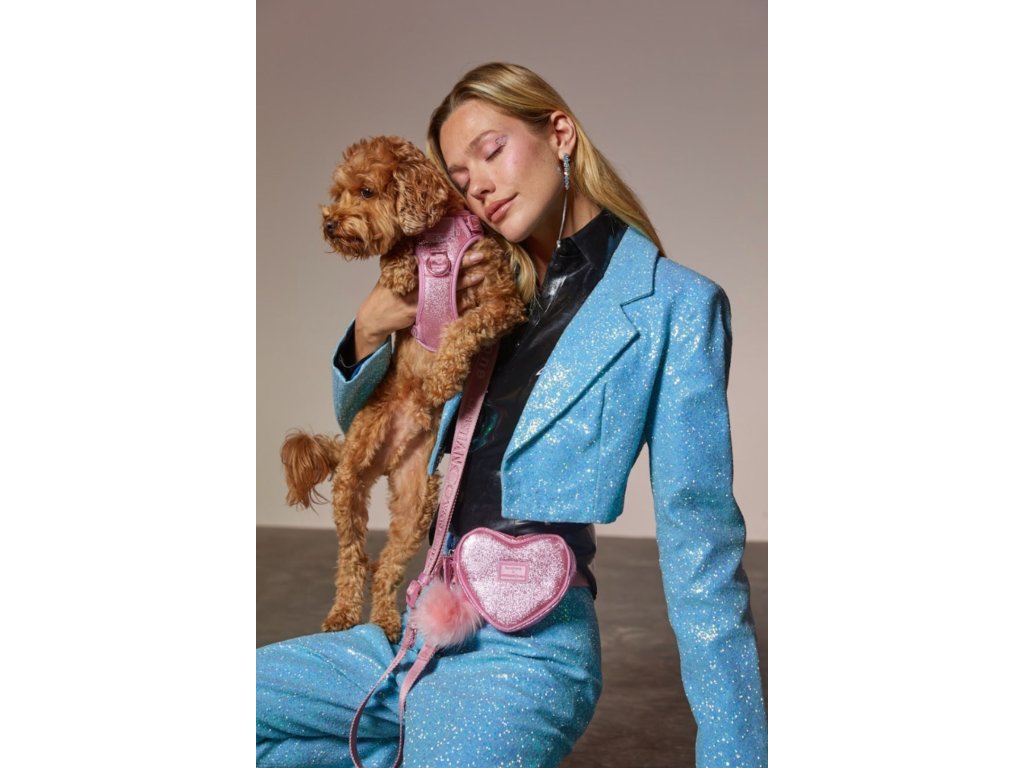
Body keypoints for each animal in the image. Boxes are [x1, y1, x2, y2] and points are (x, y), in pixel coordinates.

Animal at [281, 136, 525, 641]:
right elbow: (395, 253)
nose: (329, 223)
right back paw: (343, 615)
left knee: (387, 567)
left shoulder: (501, 302)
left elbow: (465, 327)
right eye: (339, 192)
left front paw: (443, 377)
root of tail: (389, 458)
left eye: (366, 191)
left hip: (418, 502)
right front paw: (399, 267)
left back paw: (387, 622)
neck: (436, 235)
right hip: (351, 478)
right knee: (353, 558)